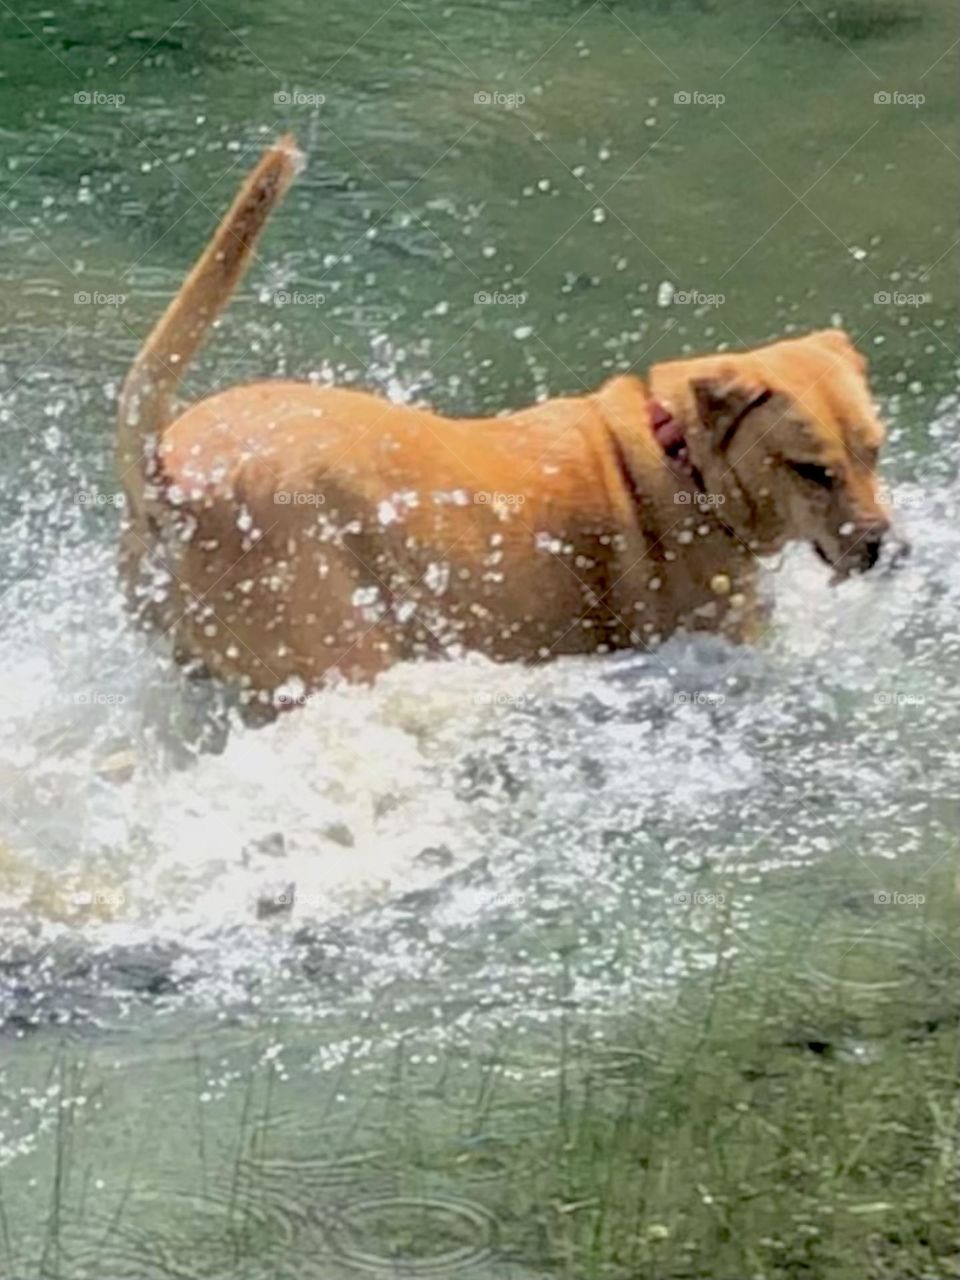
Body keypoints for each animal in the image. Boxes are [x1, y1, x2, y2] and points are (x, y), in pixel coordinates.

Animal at [118, 137, 896, 711]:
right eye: (810, 469)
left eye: (876, 451)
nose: (884, 549)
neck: (684, 462)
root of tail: (166, 472)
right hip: (333, 651)